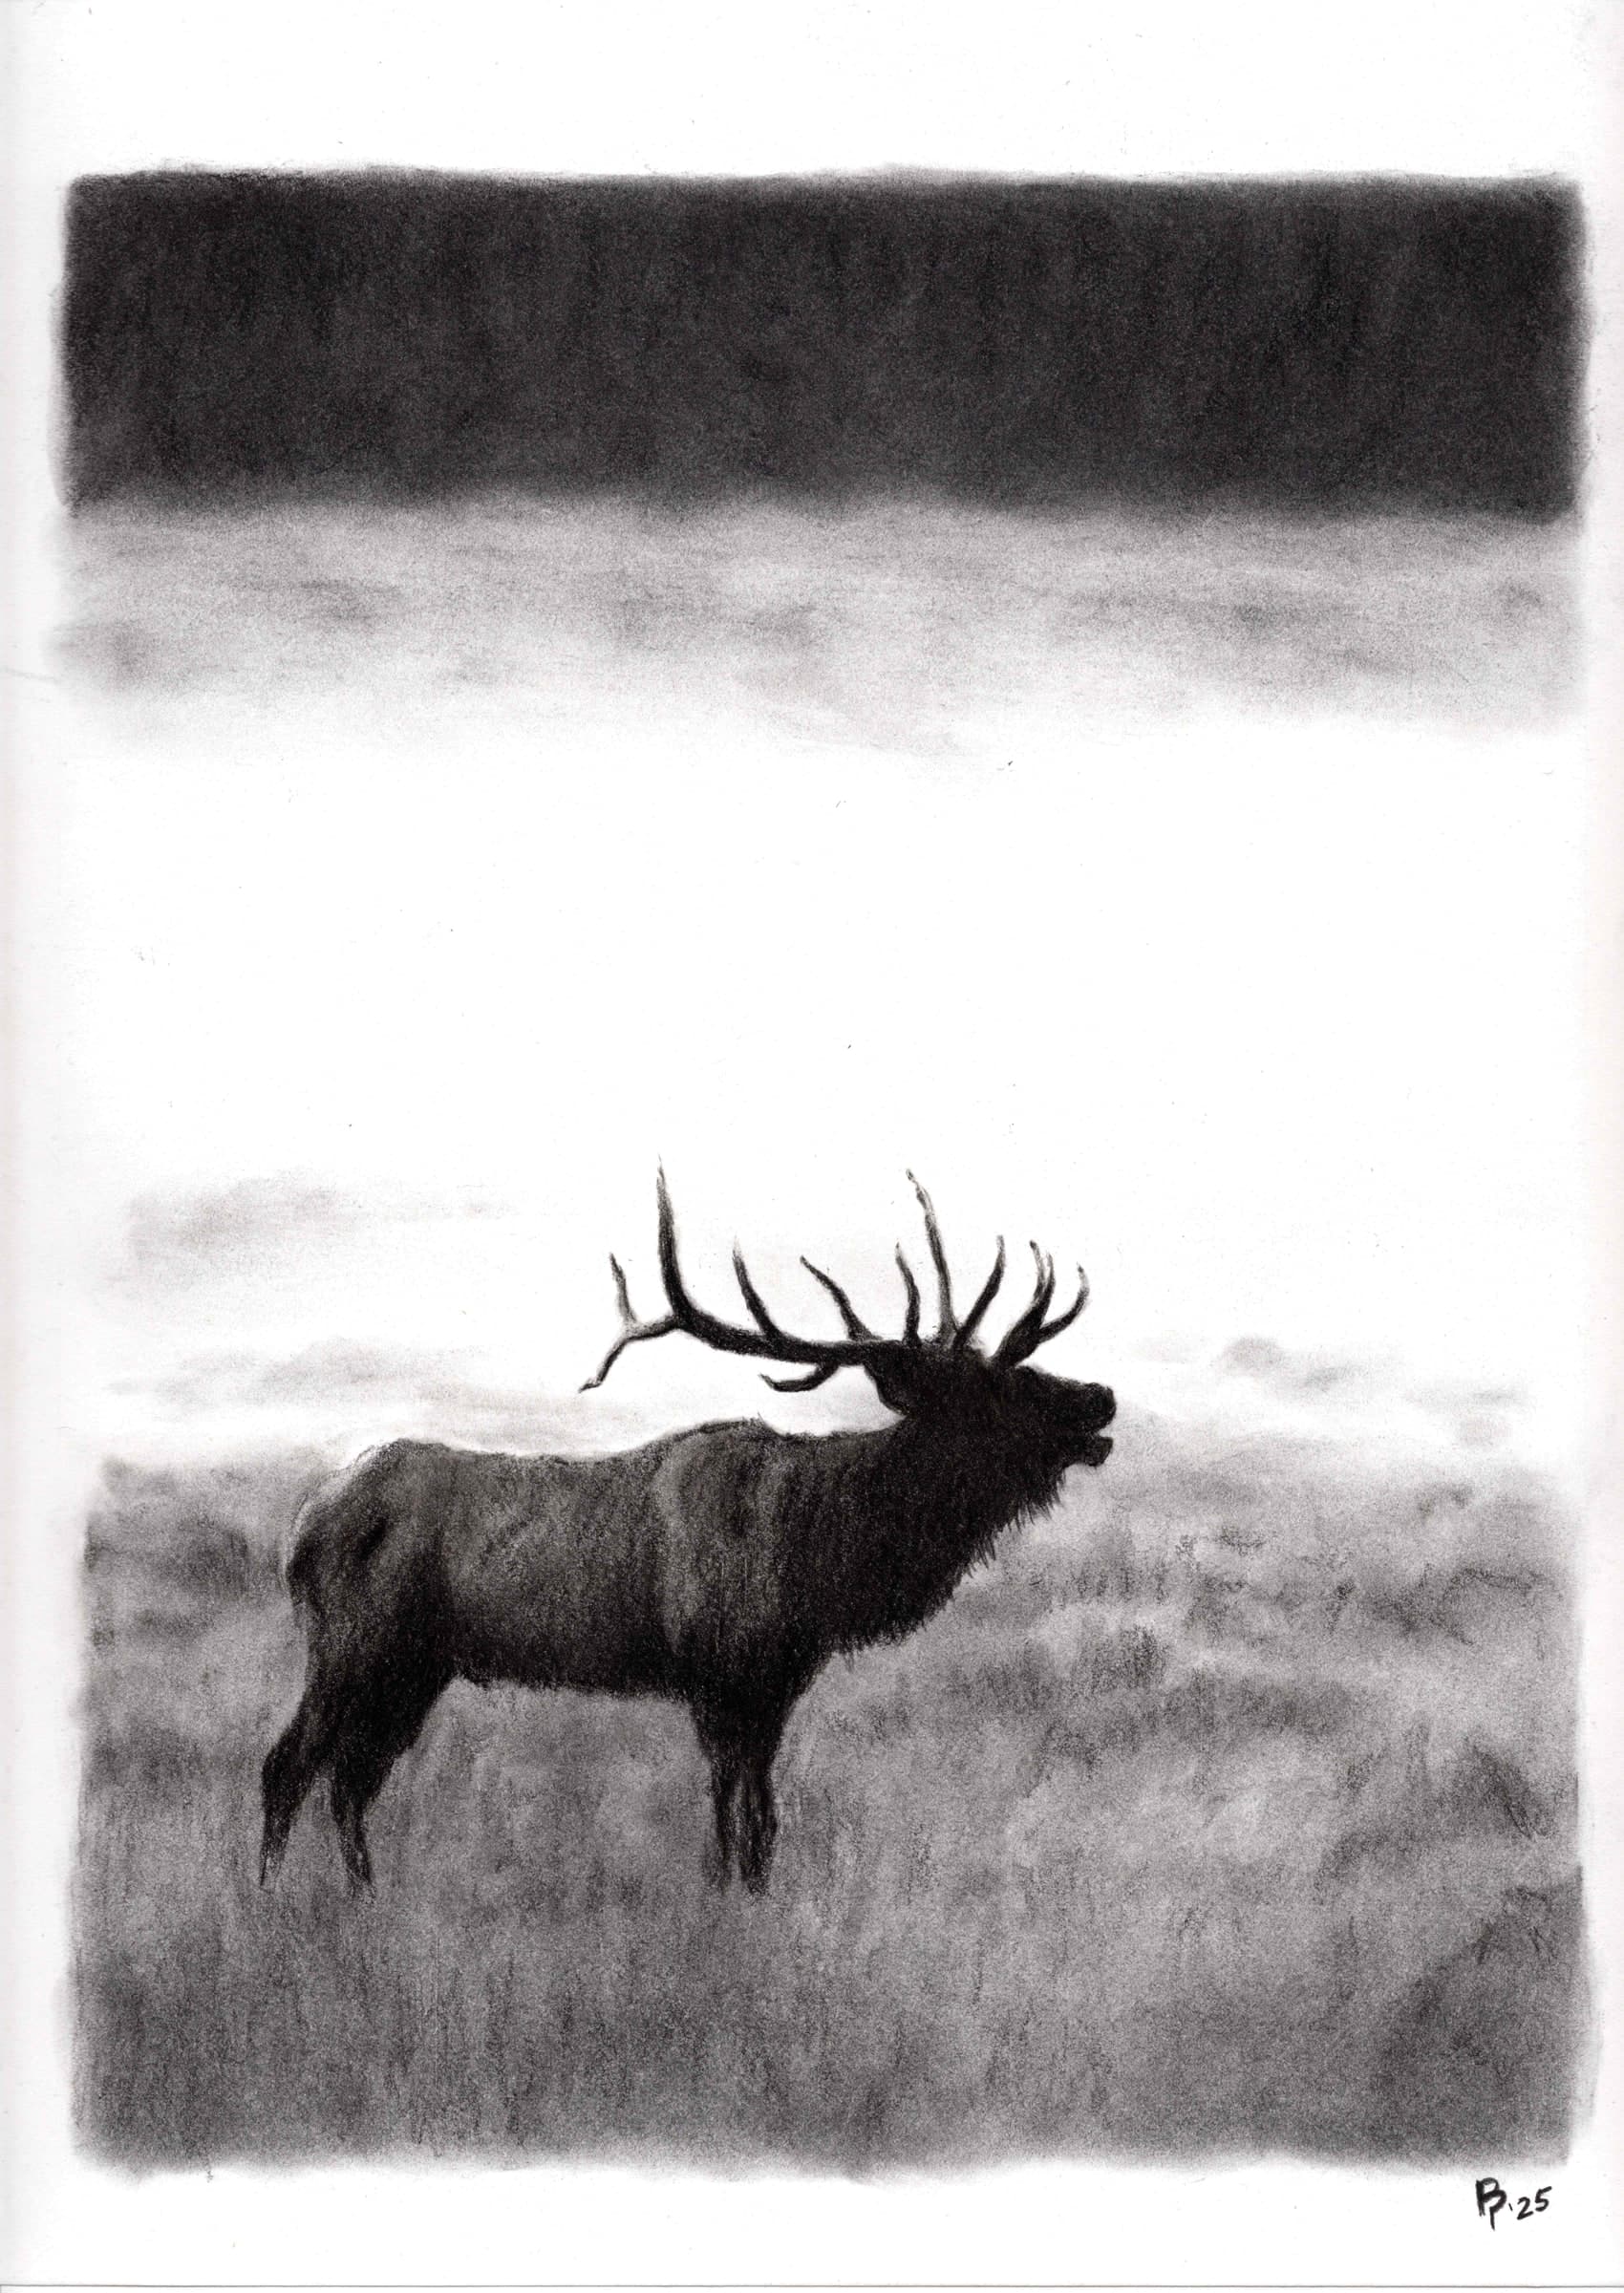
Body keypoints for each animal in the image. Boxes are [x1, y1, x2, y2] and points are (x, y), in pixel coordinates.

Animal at [259, 1174, 1114, 1896]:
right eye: (990, 1389)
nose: (1101, 1397)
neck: (817, 1554)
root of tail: (302, 1527)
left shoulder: (777, 1681)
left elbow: (762, 1815)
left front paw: (752, 1894)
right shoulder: (718, 1672)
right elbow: (736, 1808)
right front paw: (728, 1898)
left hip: (414, 1669)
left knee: (351, 1779)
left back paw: (364, 1896)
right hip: (353, 1647)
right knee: (287, 1766)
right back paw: (270, 1903)